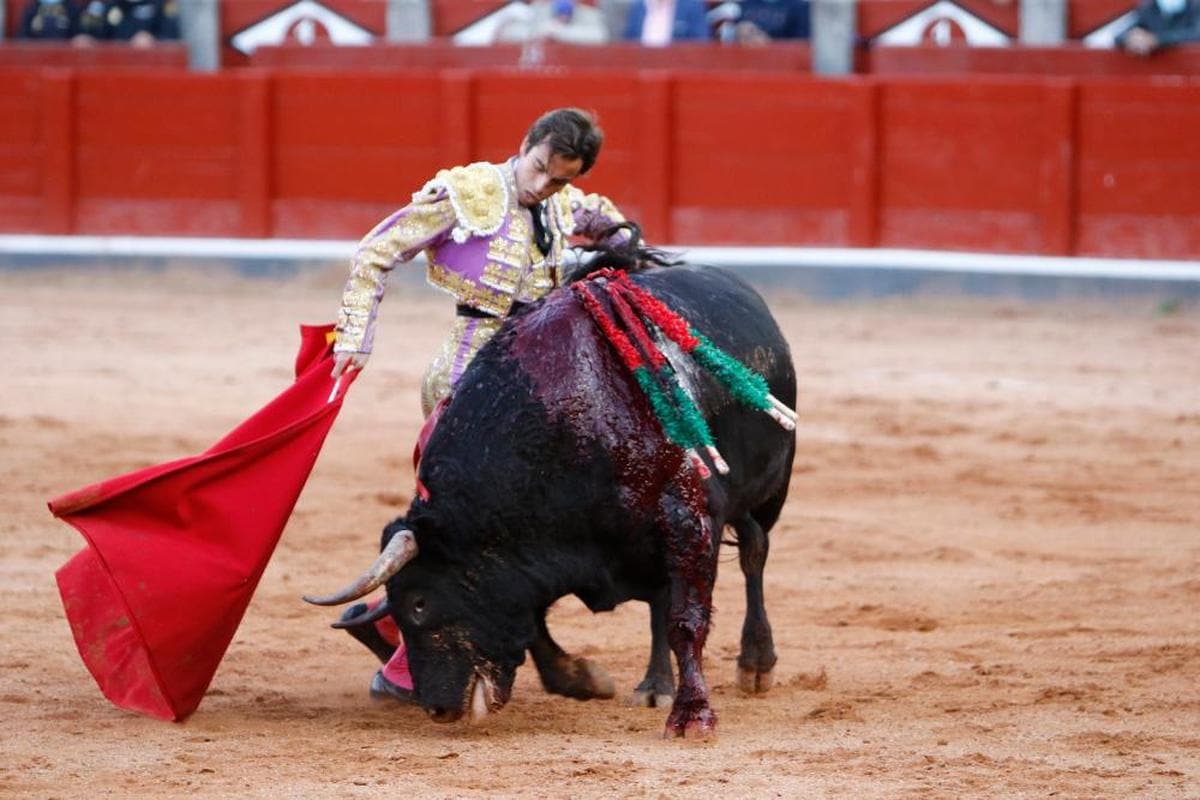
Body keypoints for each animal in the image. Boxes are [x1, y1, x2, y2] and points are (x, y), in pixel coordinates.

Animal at [309, 262, 796, 738]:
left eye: (418, 603)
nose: (439, 709)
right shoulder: (533, 559)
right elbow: (535, 627)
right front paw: (581, 679)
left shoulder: (687, 523)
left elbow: (686, 621)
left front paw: (693, 717)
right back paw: (655, 685)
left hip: (767, 493)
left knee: (754, 555)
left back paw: (755, 664)